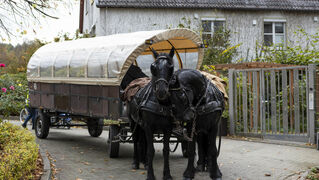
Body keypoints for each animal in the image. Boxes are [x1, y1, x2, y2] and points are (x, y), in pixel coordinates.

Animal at [123, 47, 178, 180]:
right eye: (153, 67)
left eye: (171, 67)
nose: (162, 91)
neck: (160, 103)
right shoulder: (148, 126)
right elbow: (151, 150)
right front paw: (150, 175)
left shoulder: (168, 128)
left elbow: (165, 150)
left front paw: (167, 174)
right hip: (133, 122)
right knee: (136, 140)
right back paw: (136, 162)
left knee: (144, 141)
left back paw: (146, 163)